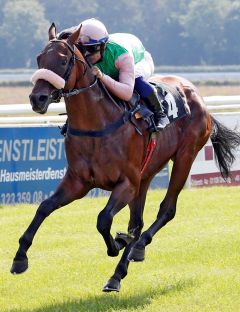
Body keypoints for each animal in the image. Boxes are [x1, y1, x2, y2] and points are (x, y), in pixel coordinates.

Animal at [10, 24, 240, 292]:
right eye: (39, 59)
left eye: (64, 60)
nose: (37, 99)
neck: (96, 125)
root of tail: (197, 95)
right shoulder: (78, 182)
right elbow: (44, 207)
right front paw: (19, 258)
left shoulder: (126, 183)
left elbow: (103, 219)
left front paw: (117, 244)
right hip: (147, 173)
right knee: (137, 222)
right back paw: (120, 270)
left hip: (185, 157)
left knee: (166, 210)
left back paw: (133, 251)